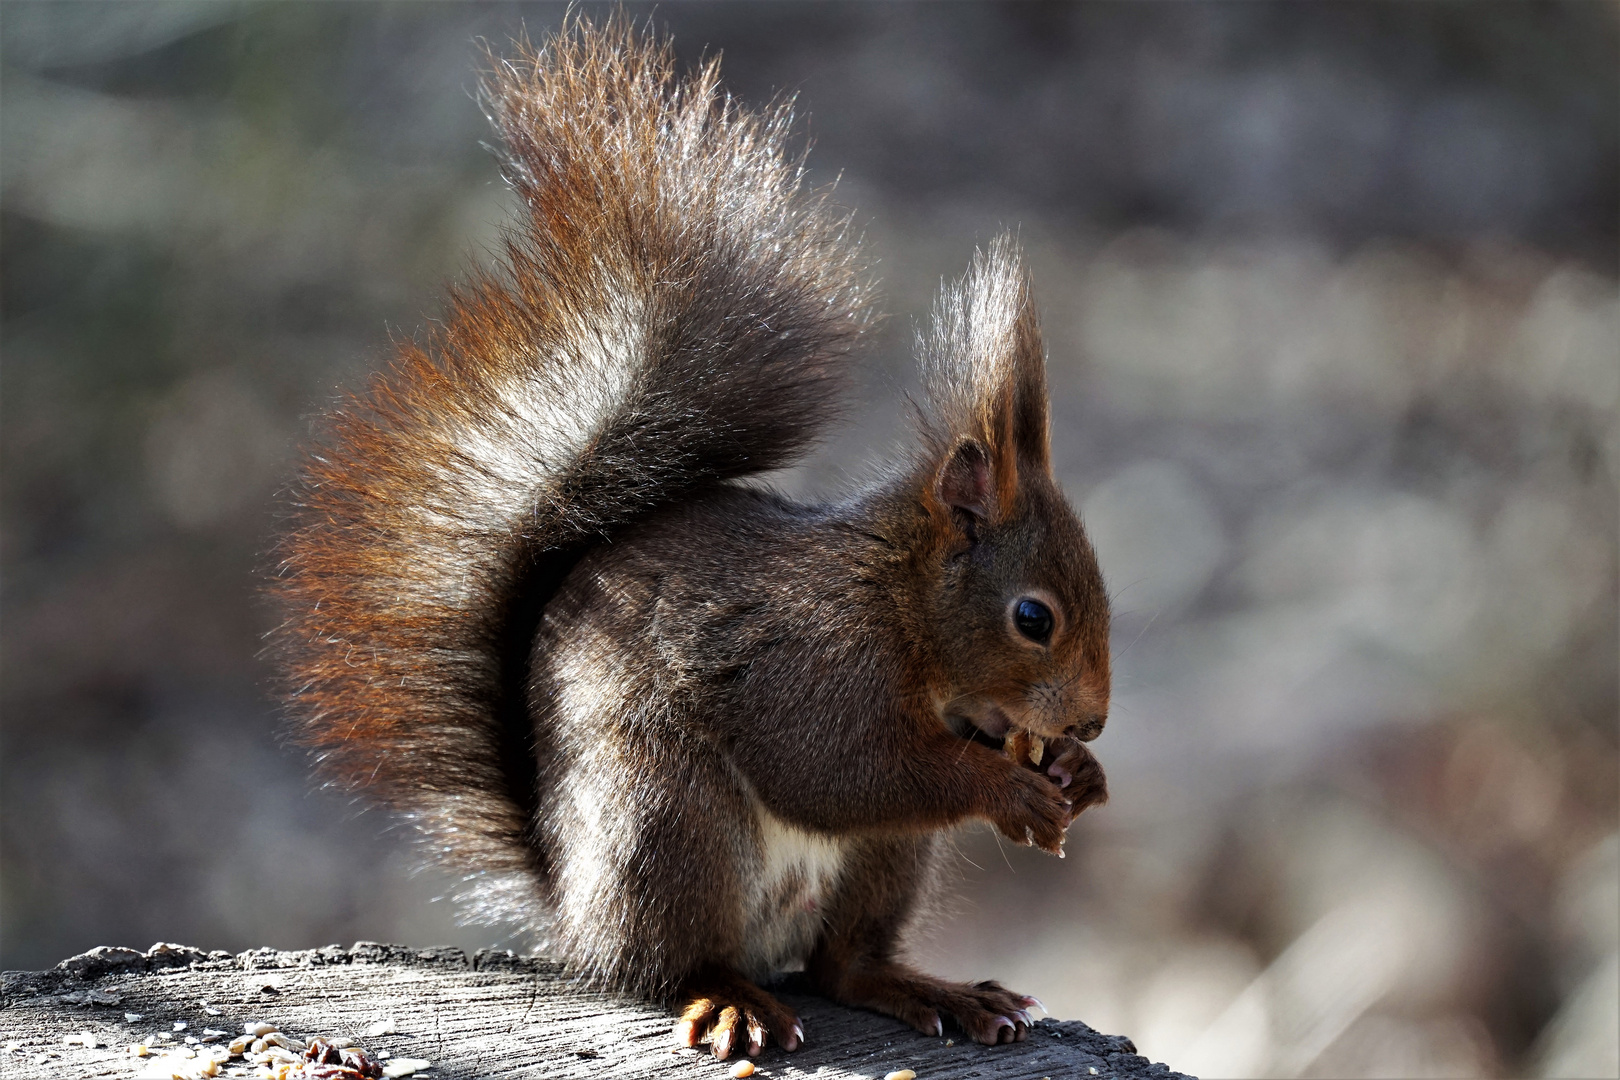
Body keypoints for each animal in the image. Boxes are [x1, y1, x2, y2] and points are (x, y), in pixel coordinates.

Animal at [272, 14, 1108, 1062]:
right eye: (1033, 617)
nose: (1092, 721)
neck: (898, 600)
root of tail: (573, 908)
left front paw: (1076, 775)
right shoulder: (807, 658)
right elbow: (840, 768)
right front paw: (1009, 790)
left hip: (884, 859)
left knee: (842, 964)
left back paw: (932, 989)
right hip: (668, 820)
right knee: (671, 960)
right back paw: (728, 1001)